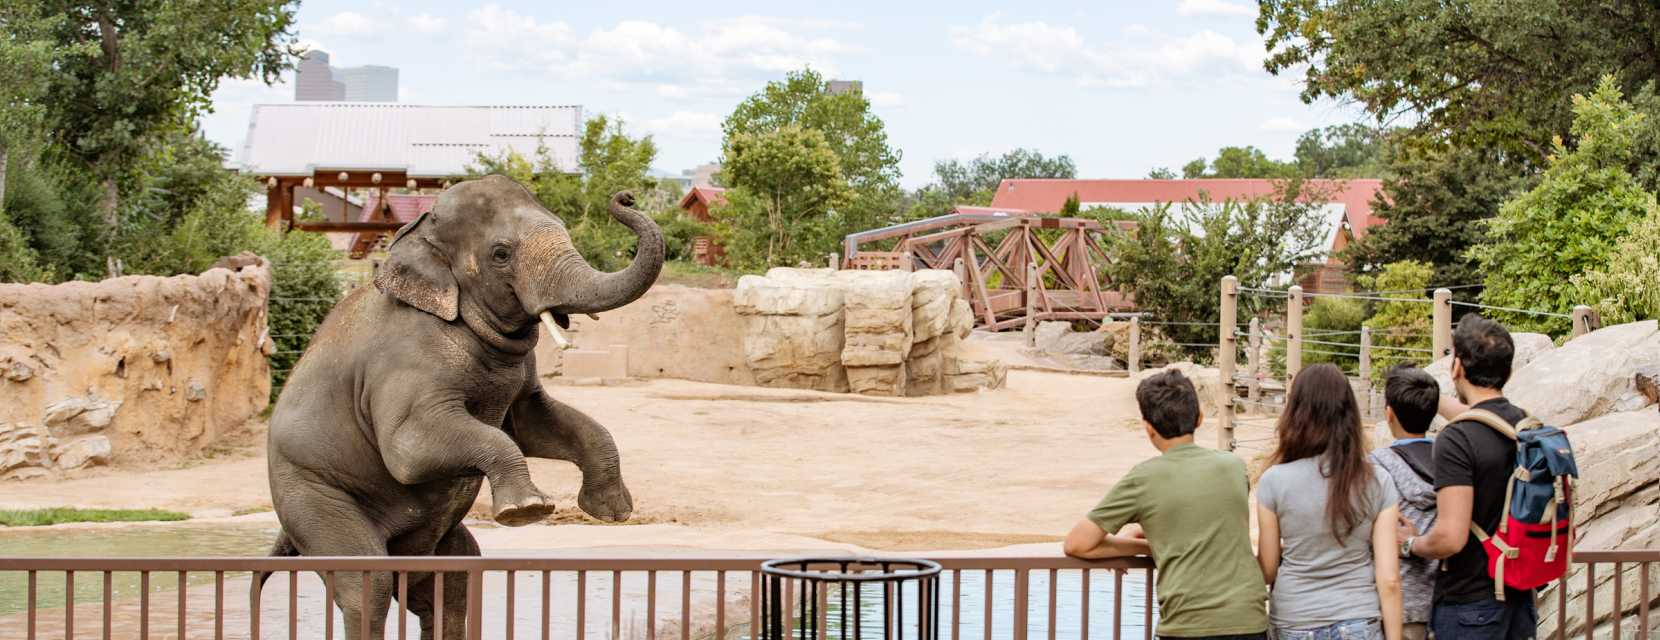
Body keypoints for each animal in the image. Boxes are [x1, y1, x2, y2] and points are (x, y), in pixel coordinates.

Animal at [261, 175, 662, 639]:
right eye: (501, 254)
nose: (626, 196)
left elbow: (537, 423)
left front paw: (612, 511)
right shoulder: (405, 360)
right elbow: (409, 451)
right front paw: (527, 511)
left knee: (454, 578)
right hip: (309, 494)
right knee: (369, 583)